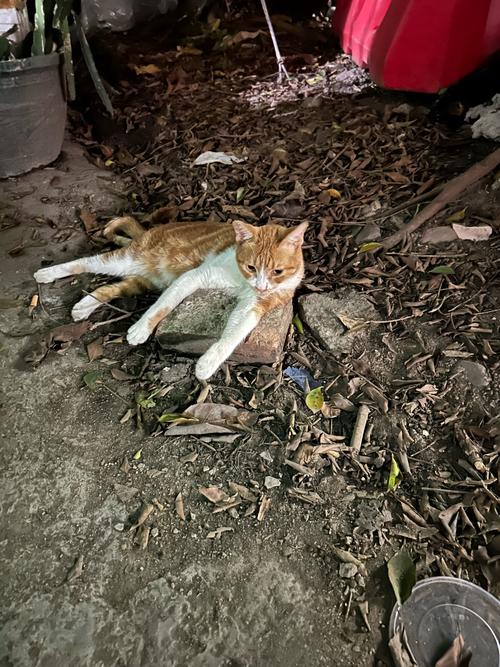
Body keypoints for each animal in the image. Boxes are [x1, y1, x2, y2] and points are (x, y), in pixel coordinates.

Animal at [33, 219, 306, 380]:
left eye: (277, 272)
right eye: (251, 267)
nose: (260, 285)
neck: (243, 282)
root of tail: (149, 230)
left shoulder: (254, 306)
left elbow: (234, 334)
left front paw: (208, 363)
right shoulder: (195, 276)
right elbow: (162, 307)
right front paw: (141, 329)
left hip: (141, 282)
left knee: (108, 289)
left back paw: (83, 307)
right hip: (127, 260)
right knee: (85, 262)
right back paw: (46, 274)